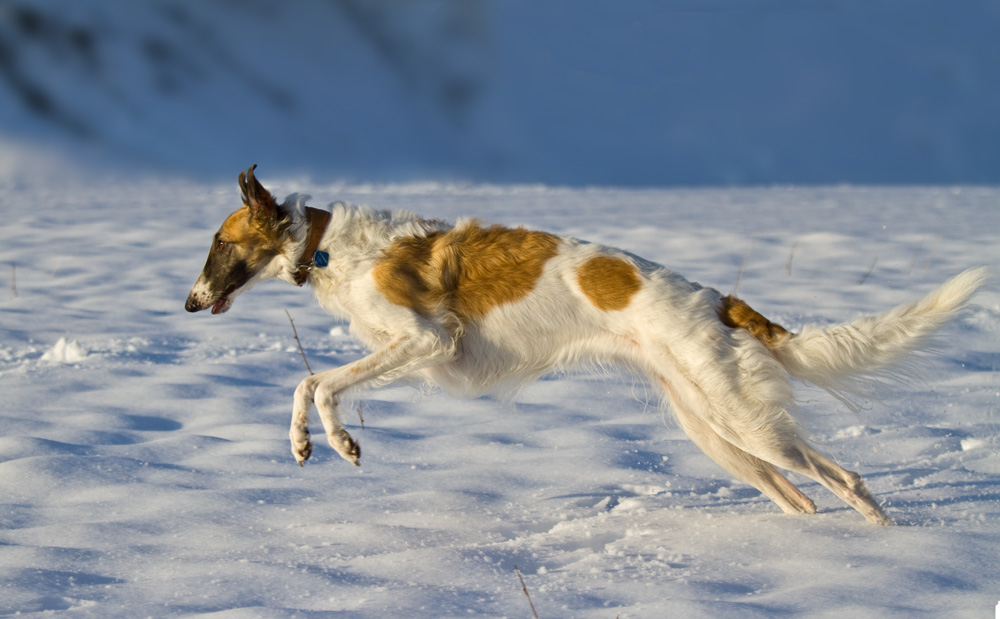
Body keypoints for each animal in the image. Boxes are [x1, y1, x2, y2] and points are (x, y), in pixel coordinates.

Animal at [184, 165, 988, 524]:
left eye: (219, 244)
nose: (188, 302)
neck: (326, 246)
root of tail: (720, 300)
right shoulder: (404, 349)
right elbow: (308, 382)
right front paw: (308, 443)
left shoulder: (429, 341)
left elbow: (321, 381)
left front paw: (336, 442)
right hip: (716, 431)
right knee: (802, 500)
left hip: (749, 423)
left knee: (846, 478)